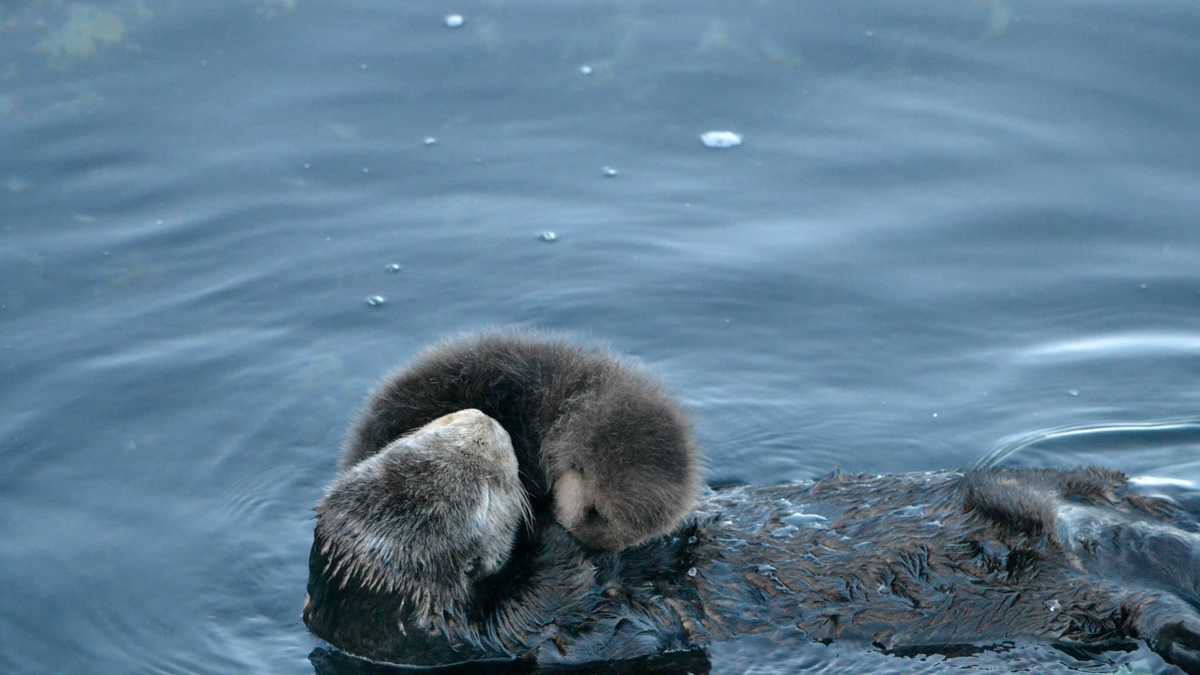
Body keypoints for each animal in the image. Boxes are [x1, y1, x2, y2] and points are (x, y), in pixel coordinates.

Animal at [306, 410, 1200, 674]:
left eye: (414, 443)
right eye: (463, 485)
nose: (483, 419)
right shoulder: (525, 634)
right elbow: (584, 595)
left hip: (1084, 491)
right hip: (1078, 601)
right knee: (1137, 611)